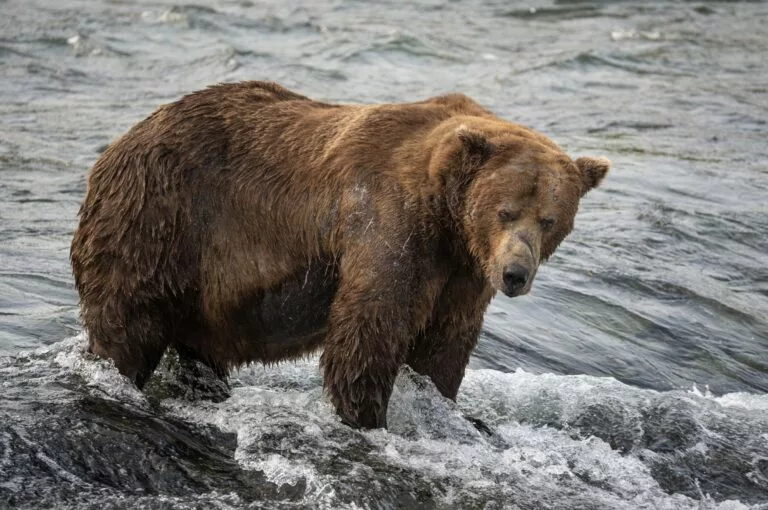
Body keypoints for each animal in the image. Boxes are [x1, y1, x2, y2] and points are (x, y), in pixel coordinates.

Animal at [70, 81, 609, 429]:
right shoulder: (391, 223)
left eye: (549, 220)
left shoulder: (463, 272)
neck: (448, 217)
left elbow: (445, 344)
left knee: (198, 349)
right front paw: (367, 417)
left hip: (202, 284)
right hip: (158, 218)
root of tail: (115, 147)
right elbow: (369, 330)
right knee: (128, 323)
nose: (516, 274)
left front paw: (446, 403)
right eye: (505, 211)